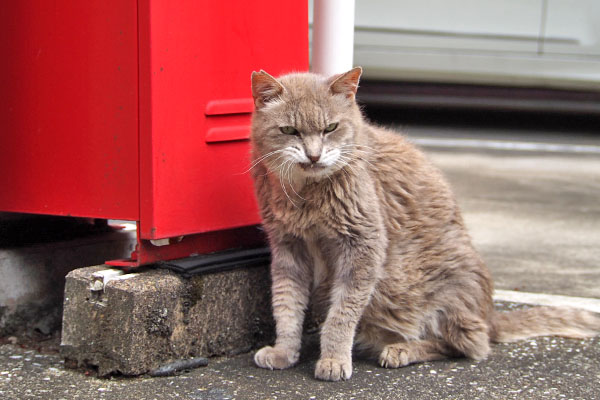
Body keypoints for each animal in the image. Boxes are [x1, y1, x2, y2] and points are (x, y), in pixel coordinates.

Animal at [246, 66, 596, 382]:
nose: (314, 156)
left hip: (443, 291)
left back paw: (402, 350)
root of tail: (491, 314)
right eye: (289, 131)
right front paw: (284, 352)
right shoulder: (288, 248)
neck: (305, 195)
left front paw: (333, 359)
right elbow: (287, 304)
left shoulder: (363, 245)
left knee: (470, 344)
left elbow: (342, 313)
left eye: (331, 127)